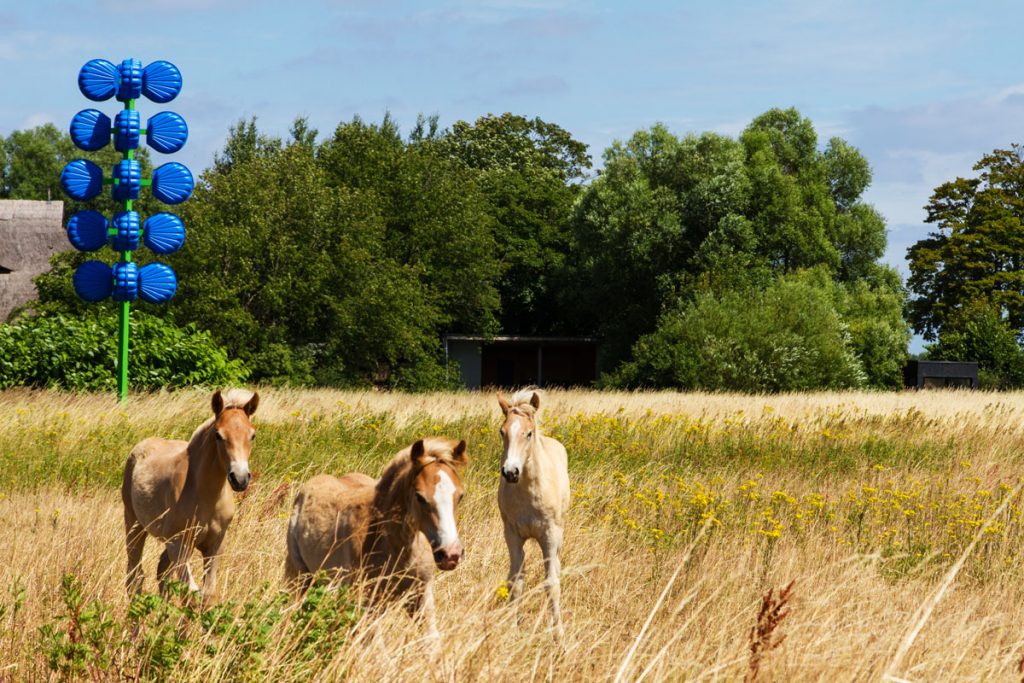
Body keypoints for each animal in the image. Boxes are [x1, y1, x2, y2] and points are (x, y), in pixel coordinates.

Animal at [121, 389, 258, 602]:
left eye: (252, 435)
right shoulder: (178, 544)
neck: (206, 496)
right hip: (134, 524)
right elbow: (191, 593)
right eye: (218, 435)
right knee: (135, 575)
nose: (240, 478)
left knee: (161, 570)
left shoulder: (216, 545)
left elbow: (207, 594)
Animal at [284, 438, 468, 643]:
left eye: (460, 495)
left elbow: (431, 640)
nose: (450, 554)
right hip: (302, 577)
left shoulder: (421, 591)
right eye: (419, 497)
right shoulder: (365, 601)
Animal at [495, 389, 569, 643]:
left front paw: (558, 636)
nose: (510, 472)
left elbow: (552, 584)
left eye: (528, 433)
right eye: (502, 431)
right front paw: (511, 630)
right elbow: (515, 582)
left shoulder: (550, 535)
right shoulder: (512, 536)